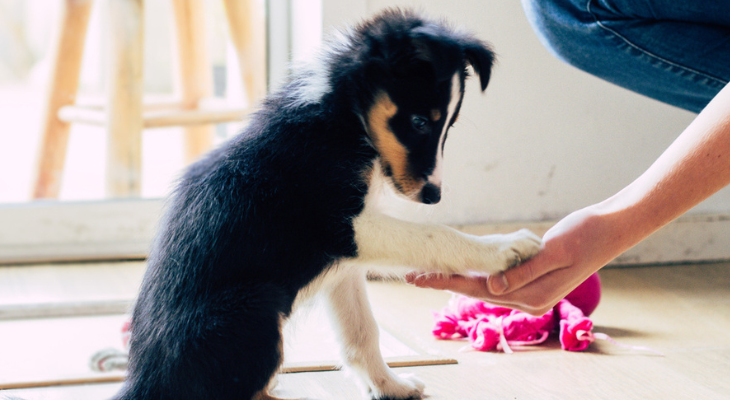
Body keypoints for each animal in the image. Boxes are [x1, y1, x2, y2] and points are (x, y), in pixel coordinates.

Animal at [115, 9, 540, 400]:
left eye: (448, 126)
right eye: (420, 121)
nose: (433, 195)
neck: (342, 116)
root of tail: (143, 385)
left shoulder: (342, 262)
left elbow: (362, 333)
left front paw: (390, 387)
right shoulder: (343, 225)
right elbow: (434, 234)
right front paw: (506, 246)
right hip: (256, 307)